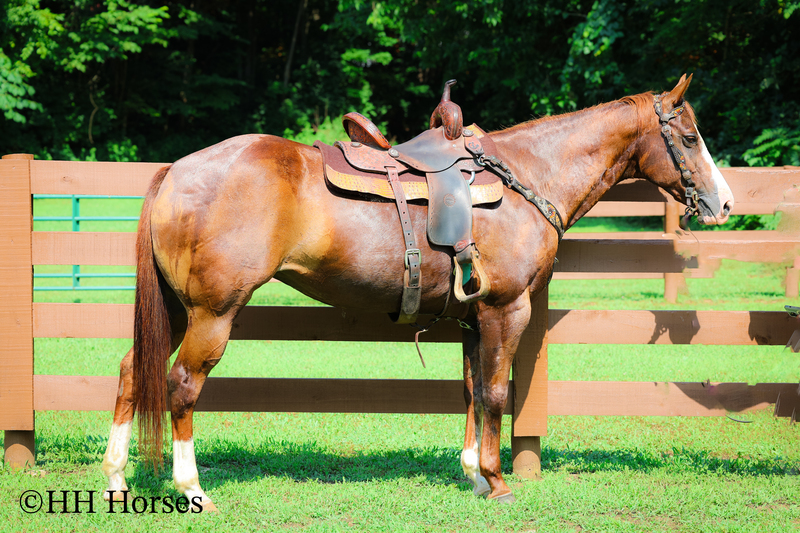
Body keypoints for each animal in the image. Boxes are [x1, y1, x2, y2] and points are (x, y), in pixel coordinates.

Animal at [101, 74, 734, 508]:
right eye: (689, 136)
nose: (725, 203)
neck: (526, 177)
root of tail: (178, 170)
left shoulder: (475, 318)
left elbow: (473, 391)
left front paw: (474, 474)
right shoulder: (507, 310)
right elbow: (497, 393)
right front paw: (498, 481)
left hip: (177, 310)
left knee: (132, 373)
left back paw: (115, 479)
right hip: (213, 313)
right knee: (182, 386)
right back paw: (191, 488)